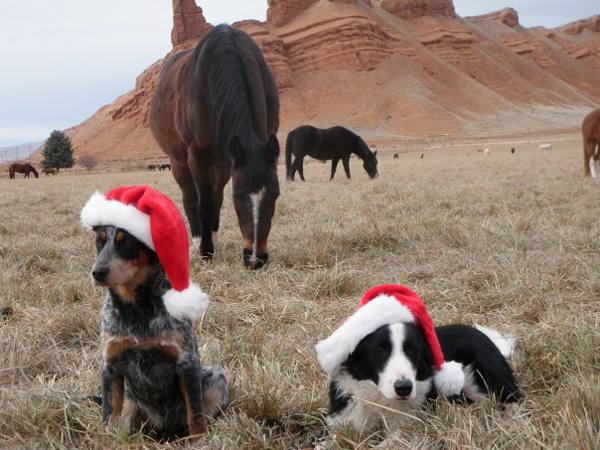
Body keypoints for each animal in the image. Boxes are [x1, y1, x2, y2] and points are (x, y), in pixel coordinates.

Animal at [81, 185, 229, 440]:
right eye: (99, 242)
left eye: (126, 242)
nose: (97, 272)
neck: (136, 307)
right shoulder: (110, 365)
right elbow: (108, 413)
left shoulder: (186, 363)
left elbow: (195, 415)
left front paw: (198, 441)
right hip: (132, 402)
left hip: (216, 377)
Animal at [150, 24, 282, 268]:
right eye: (237, 196)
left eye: (275, 195)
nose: (255, 259)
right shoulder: (197, 155)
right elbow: (204, 203)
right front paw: (206, 251)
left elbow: (216, 201)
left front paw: (213, 243)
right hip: (178, 162)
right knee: (190, 199)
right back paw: (196, 242)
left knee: (215, 197)